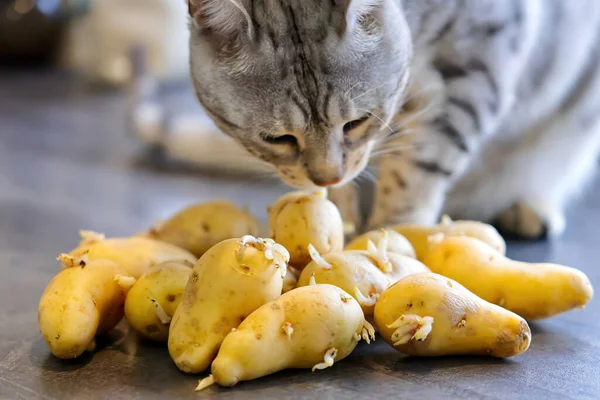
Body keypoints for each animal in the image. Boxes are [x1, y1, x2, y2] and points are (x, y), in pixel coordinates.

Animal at [131, 0, 600, 238]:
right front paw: (337, 219)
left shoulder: (479, 53)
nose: (326, 175)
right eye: (279, 139)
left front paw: (396, 235)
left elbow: (418, 166)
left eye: (356, 122)